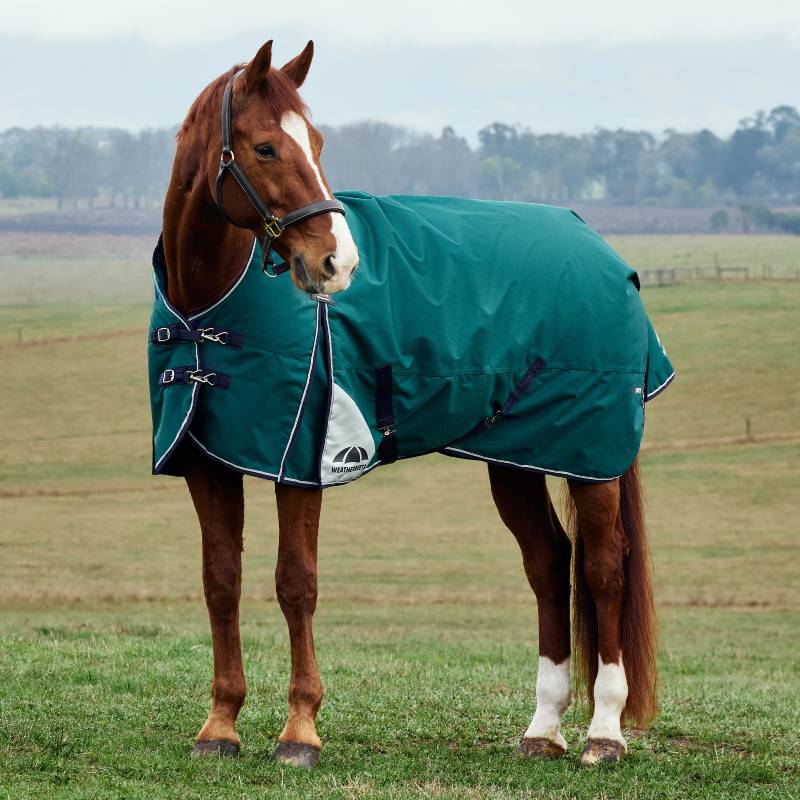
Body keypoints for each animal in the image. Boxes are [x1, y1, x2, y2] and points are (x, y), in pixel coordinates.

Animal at [160, 39, 658, 768]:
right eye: (265, 147)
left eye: (316, 142)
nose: (337, 263)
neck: (210, 309)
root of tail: (599, 246)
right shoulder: (207, 463)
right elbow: (220, 580)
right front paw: (220, 726)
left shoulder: (302, 462)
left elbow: (295, 582)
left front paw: (299, 731)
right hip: (514, 455)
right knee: (548, 563)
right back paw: (543, 729)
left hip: (589, 454)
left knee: (602, 567)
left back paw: (604, 733)